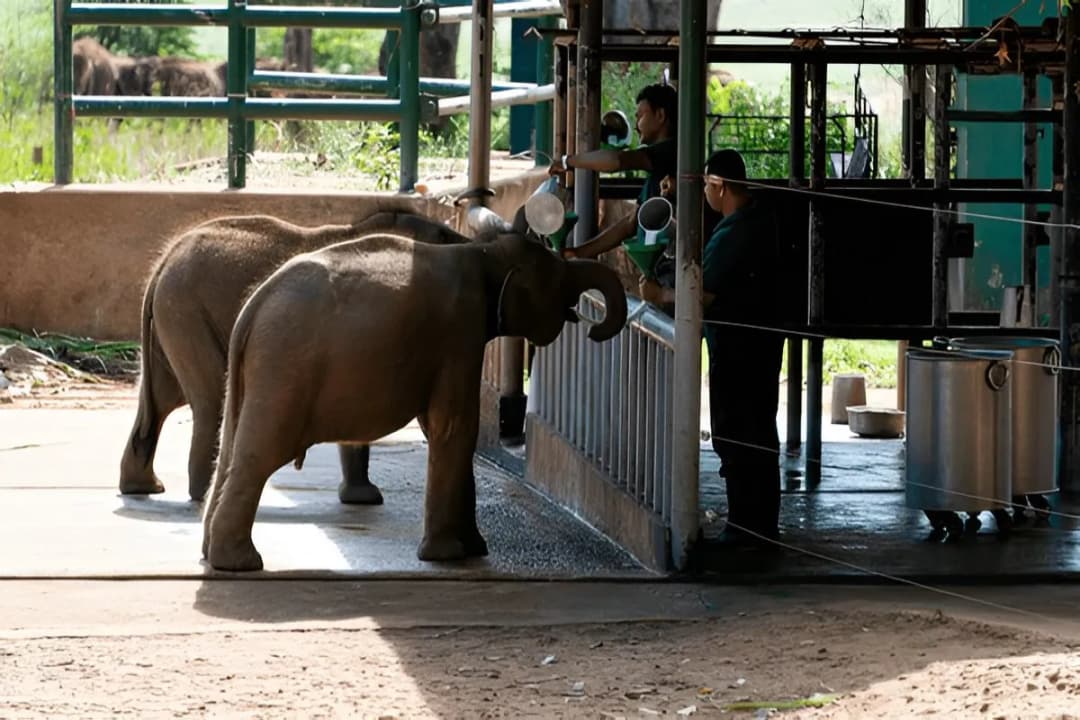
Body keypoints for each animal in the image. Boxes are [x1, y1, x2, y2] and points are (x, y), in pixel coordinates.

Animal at [119, 209, 472, 505]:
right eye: (444, 235)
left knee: (160, 402)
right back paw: (201, 494)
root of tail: (164, 263)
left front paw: (364, 500)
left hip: (172, 320)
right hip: (187, 312)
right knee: (210, 401)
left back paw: (144, 488)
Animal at [201, 224, 628, 571]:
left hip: (254, 374)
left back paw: (212, 554)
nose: (593, 329)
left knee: (231, 447)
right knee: (260, 454)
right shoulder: (460, 332)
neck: (482, 251)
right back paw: (239, 564)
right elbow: (455, 427)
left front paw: (475, 549)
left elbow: (446, 429)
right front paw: (449, 557)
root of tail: (252, 309)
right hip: (285, 367)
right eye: (557, 279)